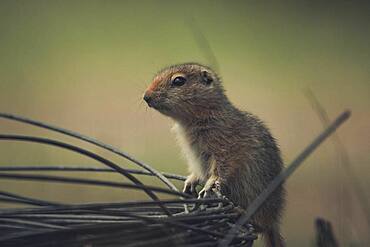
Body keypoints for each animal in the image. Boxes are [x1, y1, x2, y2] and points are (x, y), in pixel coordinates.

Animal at [143, 62, 284, 246]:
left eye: (178, 81)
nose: (146, 96)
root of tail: (274, 222)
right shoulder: (195, 157)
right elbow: (197, 172)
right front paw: (190, 182)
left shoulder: (226, 149)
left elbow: (221, 170)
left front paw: (209, 185)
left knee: (258, 224)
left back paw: (239, 212)